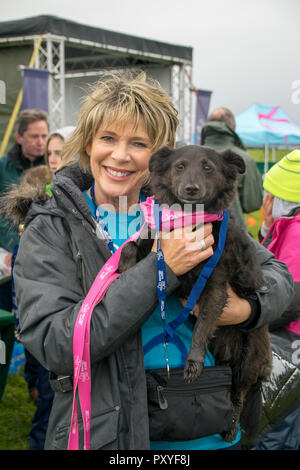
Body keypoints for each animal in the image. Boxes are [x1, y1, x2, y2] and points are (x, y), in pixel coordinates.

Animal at [119, 145, 272, 442]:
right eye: (179, 166)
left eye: (208, 167)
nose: (191, 189)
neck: (188, 219)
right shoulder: (154, 247)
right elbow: (131, 247)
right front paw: (123, 269)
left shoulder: (214, 284)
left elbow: (202, 326)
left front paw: (193, 362)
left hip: (248, 358)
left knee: (239, 394)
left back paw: (231, 427)